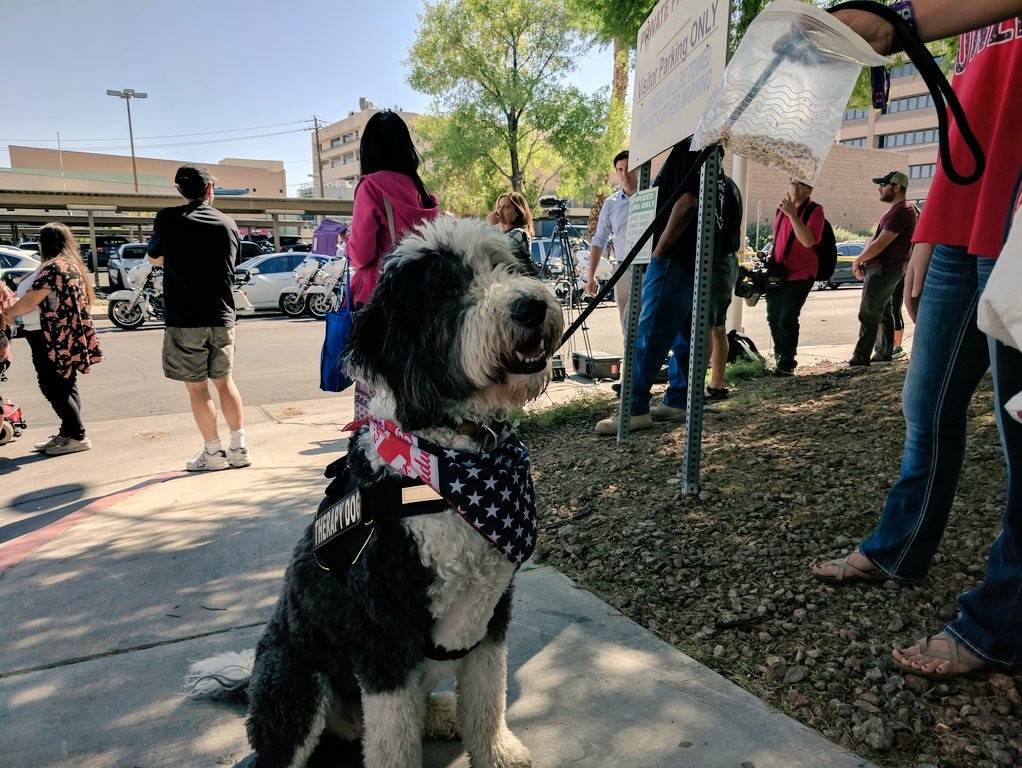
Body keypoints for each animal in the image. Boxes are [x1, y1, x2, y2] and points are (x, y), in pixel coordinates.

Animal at [186, 217, 563, 768]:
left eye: (509, 266)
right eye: (446, 290)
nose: (531, 306)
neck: (447, 459)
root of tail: (252, 678)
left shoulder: (491, 621)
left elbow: (487, 700)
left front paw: (495, 753)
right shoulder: (383, 640)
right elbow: (392, 740)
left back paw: (442, 714)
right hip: (298, 683)